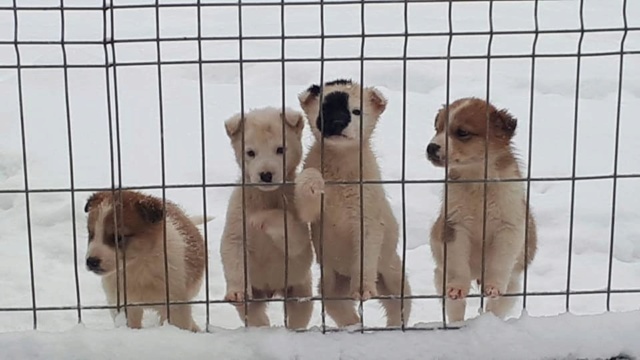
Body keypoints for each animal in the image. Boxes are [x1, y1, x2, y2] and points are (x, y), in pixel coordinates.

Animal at [84, 188, 206, 332]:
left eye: (118, 237)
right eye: (90, 234)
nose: (91, 262)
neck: (139, 265)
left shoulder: (175, 303)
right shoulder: (124, 304)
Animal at [220, 106, 316, 330]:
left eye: (281, 149)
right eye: (250, 152)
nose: (265, 175)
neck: (266, 195)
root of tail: (271, 291)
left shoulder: (297, 217)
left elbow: (294, 237)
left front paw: (260, 219)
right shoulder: (237, 218)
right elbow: (232, 250)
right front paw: (236, 292)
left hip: (299, 286)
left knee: (299, 312)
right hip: (255, 293)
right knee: (254, 313)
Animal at [294, 79, 410, 330]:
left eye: (356, 111)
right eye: (324, 109)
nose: (337, 123)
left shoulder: (368, 220)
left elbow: (364, 256)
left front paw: (362, 288)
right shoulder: (310, 212)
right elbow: (308, 184)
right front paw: (312, 182)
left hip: (394, 277)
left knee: (398, 308)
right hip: (329, 289)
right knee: (345, 314)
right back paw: (355, 326)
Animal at [428, 96, 536, 324]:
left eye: (462, 132)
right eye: (438, 128)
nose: (431, 148)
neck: (478, 182)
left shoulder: (509, 228)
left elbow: (499, 261)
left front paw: (493, 285)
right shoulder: (454, 227)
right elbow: (458, 264)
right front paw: (457, 288)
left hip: (513, 287)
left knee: (495, 308)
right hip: (441, 275)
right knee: (455, 308)